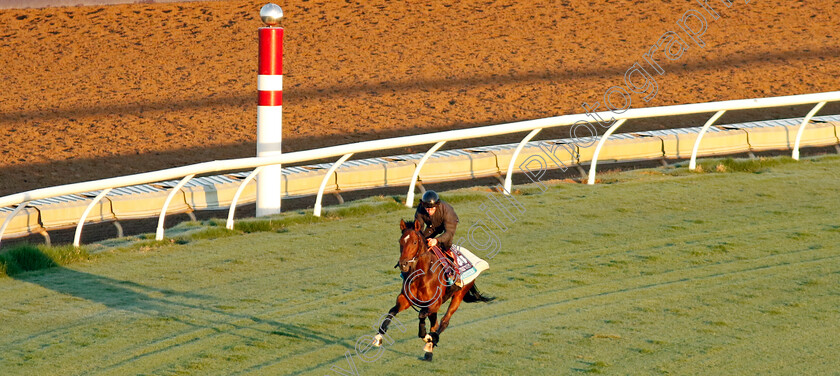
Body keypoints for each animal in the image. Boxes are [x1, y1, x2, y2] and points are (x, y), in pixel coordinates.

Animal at [370, 220, 488, 362]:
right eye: (400, 241)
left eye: (415, 242)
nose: (403, 264)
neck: (422, 275)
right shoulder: (405, 299)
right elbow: (392, 311)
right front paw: (378, 337)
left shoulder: (434, 304)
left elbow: (422, 317)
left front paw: (427, 337)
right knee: (435, 323)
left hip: (459, 294)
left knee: (444, 322)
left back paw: (430, 345)